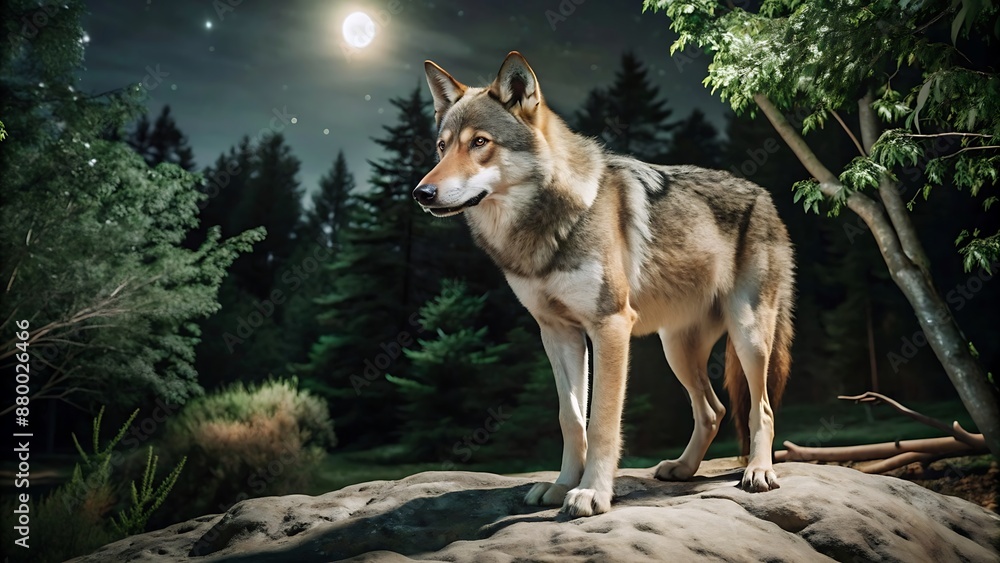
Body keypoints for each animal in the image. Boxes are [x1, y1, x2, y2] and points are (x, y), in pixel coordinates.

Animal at [413, 52, 794, 517]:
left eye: (480, 143)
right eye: (442, 147)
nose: (421, 193)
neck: (543, 229)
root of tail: (766, 197)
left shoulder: (611, 326)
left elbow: (602, 421)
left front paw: (592, 492)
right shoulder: (558, 333)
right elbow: (571, 418)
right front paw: (560, 486)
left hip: (748, 337)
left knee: (762, 409)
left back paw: (758, 471)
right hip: (676, 349)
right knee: (713, 410)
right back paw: (683, 468)